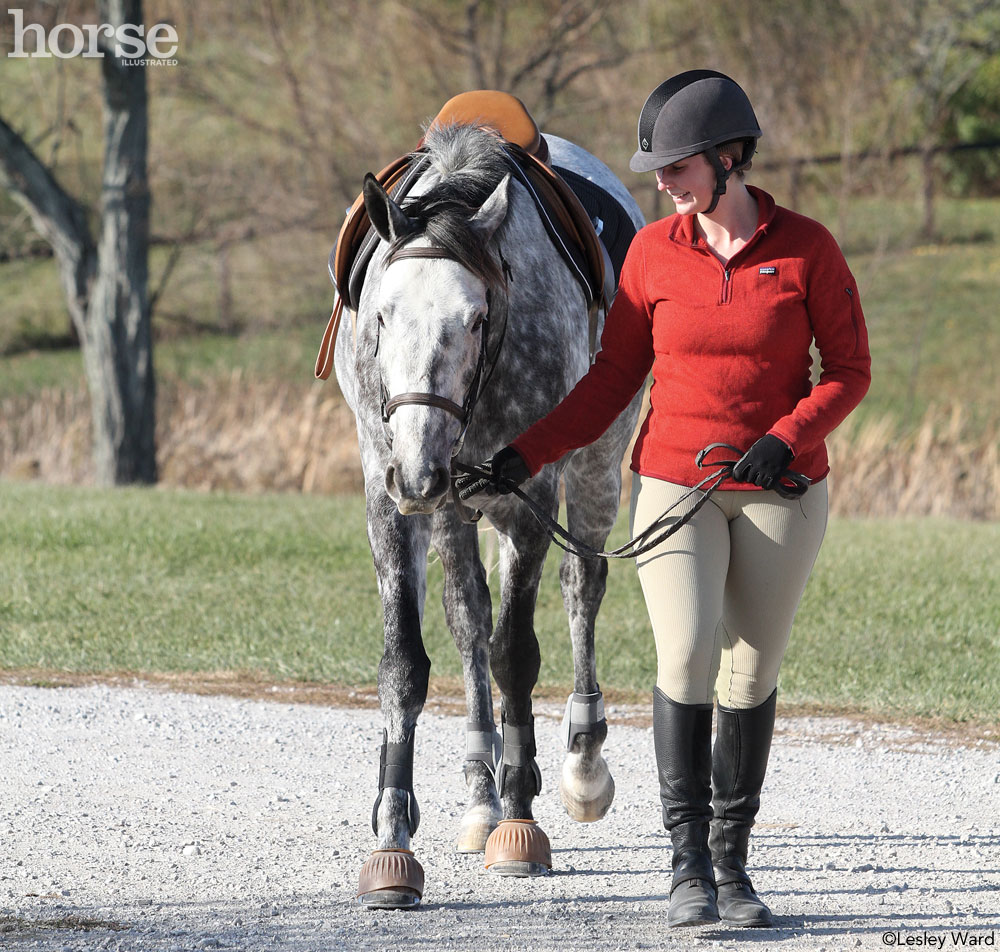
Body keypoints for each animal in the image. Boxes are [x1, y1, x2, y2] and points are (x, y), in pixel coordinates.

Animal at [331, 120, 644, 908]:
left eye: (475, 319)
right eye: (382, 315)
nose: (419, 467)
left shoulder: (531, 497)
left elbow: (515, 656)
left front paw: (522, 823)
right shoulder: (390, 497)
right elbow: (407, 665)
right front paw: (392, 839)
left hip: (593, 472)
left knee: (581, 587)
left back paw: (578, 766)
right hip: (451, 505)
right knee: (469, 617)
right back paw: (480, 793)